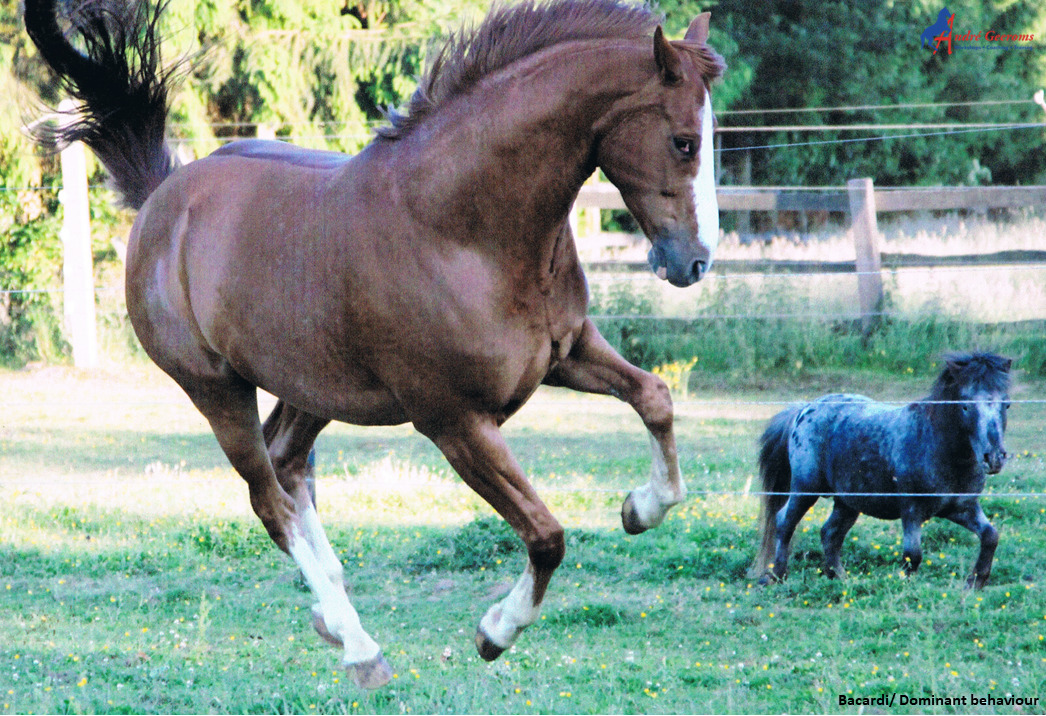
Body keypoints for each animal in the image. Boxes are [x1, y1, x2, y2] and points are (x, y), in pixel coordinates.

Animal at [26, 0, 728, 685]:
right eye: (683, 141)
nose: (693, 261)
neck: (461, 227)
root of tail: (162, 198)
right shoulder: (455, 422)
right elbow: (546, 534)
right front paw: (495, 632)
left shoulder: (569, 352)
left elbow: (656, 398)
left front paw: (640, 508)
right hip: (217, 390)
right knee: (270, 499)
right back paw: (360, 648)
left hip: (311, 387)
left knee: (287, 468)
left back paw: (332, 621)